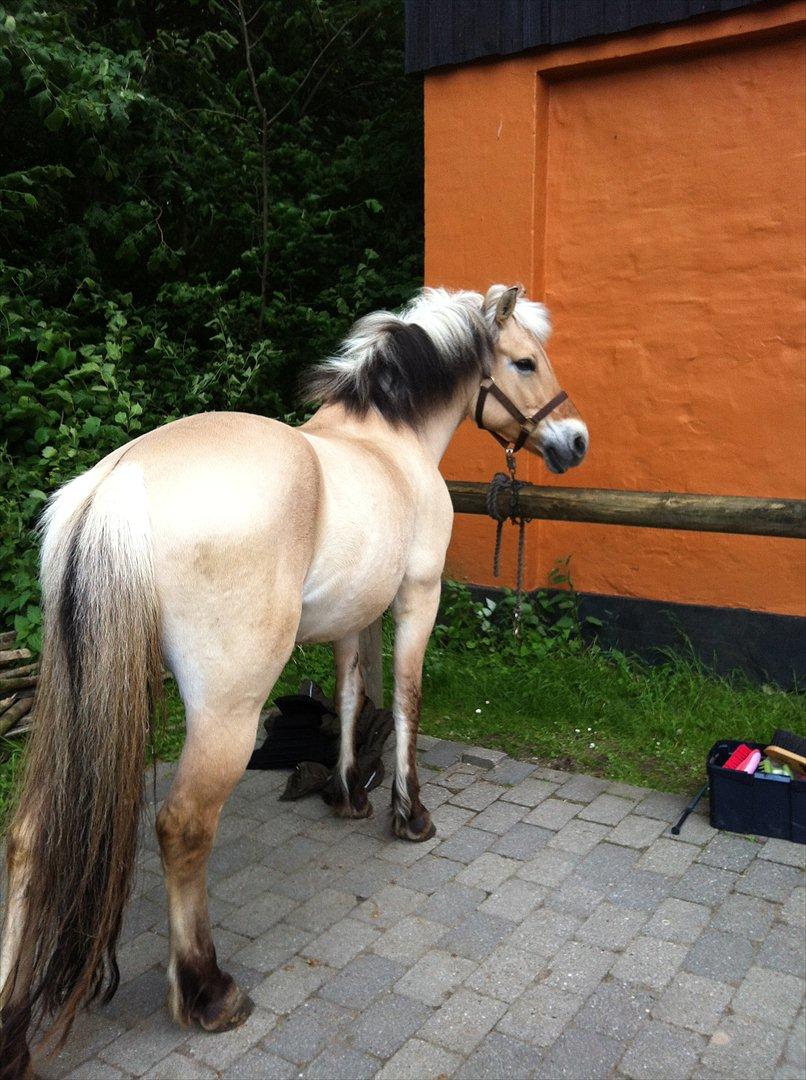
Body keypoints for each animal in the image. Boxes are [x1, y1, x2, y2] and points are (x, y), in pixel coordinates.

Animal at [1, 282, 583, 1075]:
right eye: (524, 360)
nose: (575, 441)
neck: (387, 441)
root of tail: (118, 482)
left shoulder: (351, 616)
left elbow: (349, 696)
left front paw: (346, 792)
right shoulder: (417, 598)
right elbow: (406, 700)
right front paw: (410, 815)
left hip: (76, 699)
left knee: (29, 836)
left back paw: (11, 1028)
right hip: (225, 712)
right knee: (183, 826)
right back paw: (209, 992)